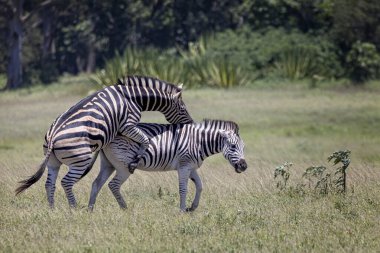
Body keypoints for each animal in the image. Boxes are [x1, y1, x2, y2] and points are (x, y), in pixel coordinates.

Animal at [14, 75, 193, 208]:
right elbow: (145, 139)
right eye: (183, 109)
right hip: (80, 159)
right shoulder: (127, 125)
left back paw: (52, 209)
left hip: (52, 161)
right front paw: (136, 158)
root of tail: (52, 136)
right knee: (66, 182)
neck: (133, 97)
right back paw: (74, 208)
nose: (191, 124)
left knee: (49, 184)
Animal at [89, 118, 249, 211]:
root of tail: (108, 135)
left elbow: (200, 186)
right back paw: (125, 208)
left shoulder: (191, 167)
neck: (198, 142)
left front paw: (193, 207)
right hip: (124, 166)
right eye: (233, 147)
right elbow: (183, 189)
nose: (244, 166)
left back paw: (90, 210)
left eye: (244, 147)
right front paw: (182, 210)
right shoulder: (184, 166)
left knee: (96, 183)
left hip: (108, 164)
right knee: (113, 185)